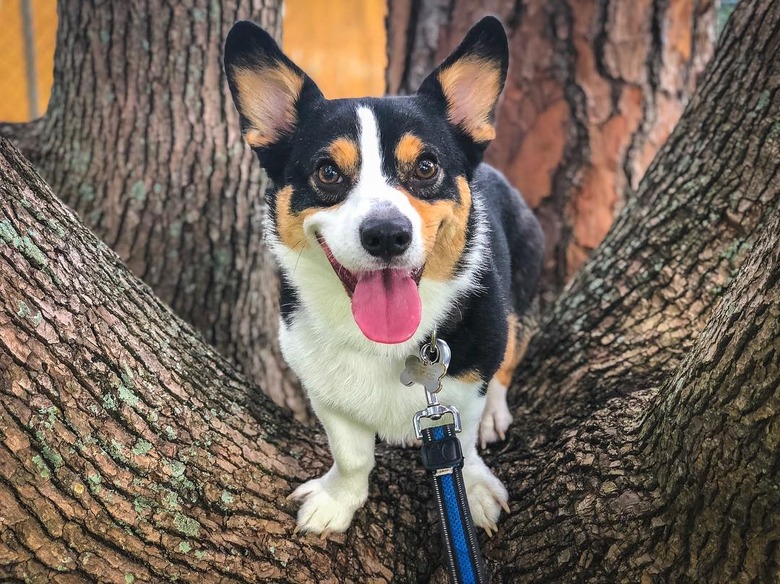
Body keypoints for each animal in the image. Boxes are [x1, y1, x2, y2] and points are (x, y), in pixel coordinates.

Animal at [224, 16, 544, 536]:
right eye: (327, 172)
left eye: (426, 166)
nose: (387, 235)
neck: (385, 342)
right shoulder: (324, 391)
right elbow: (351, 454)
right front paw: (337, 502)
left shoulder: (467, 376)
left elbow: (465, 437)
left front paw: (475, 491)